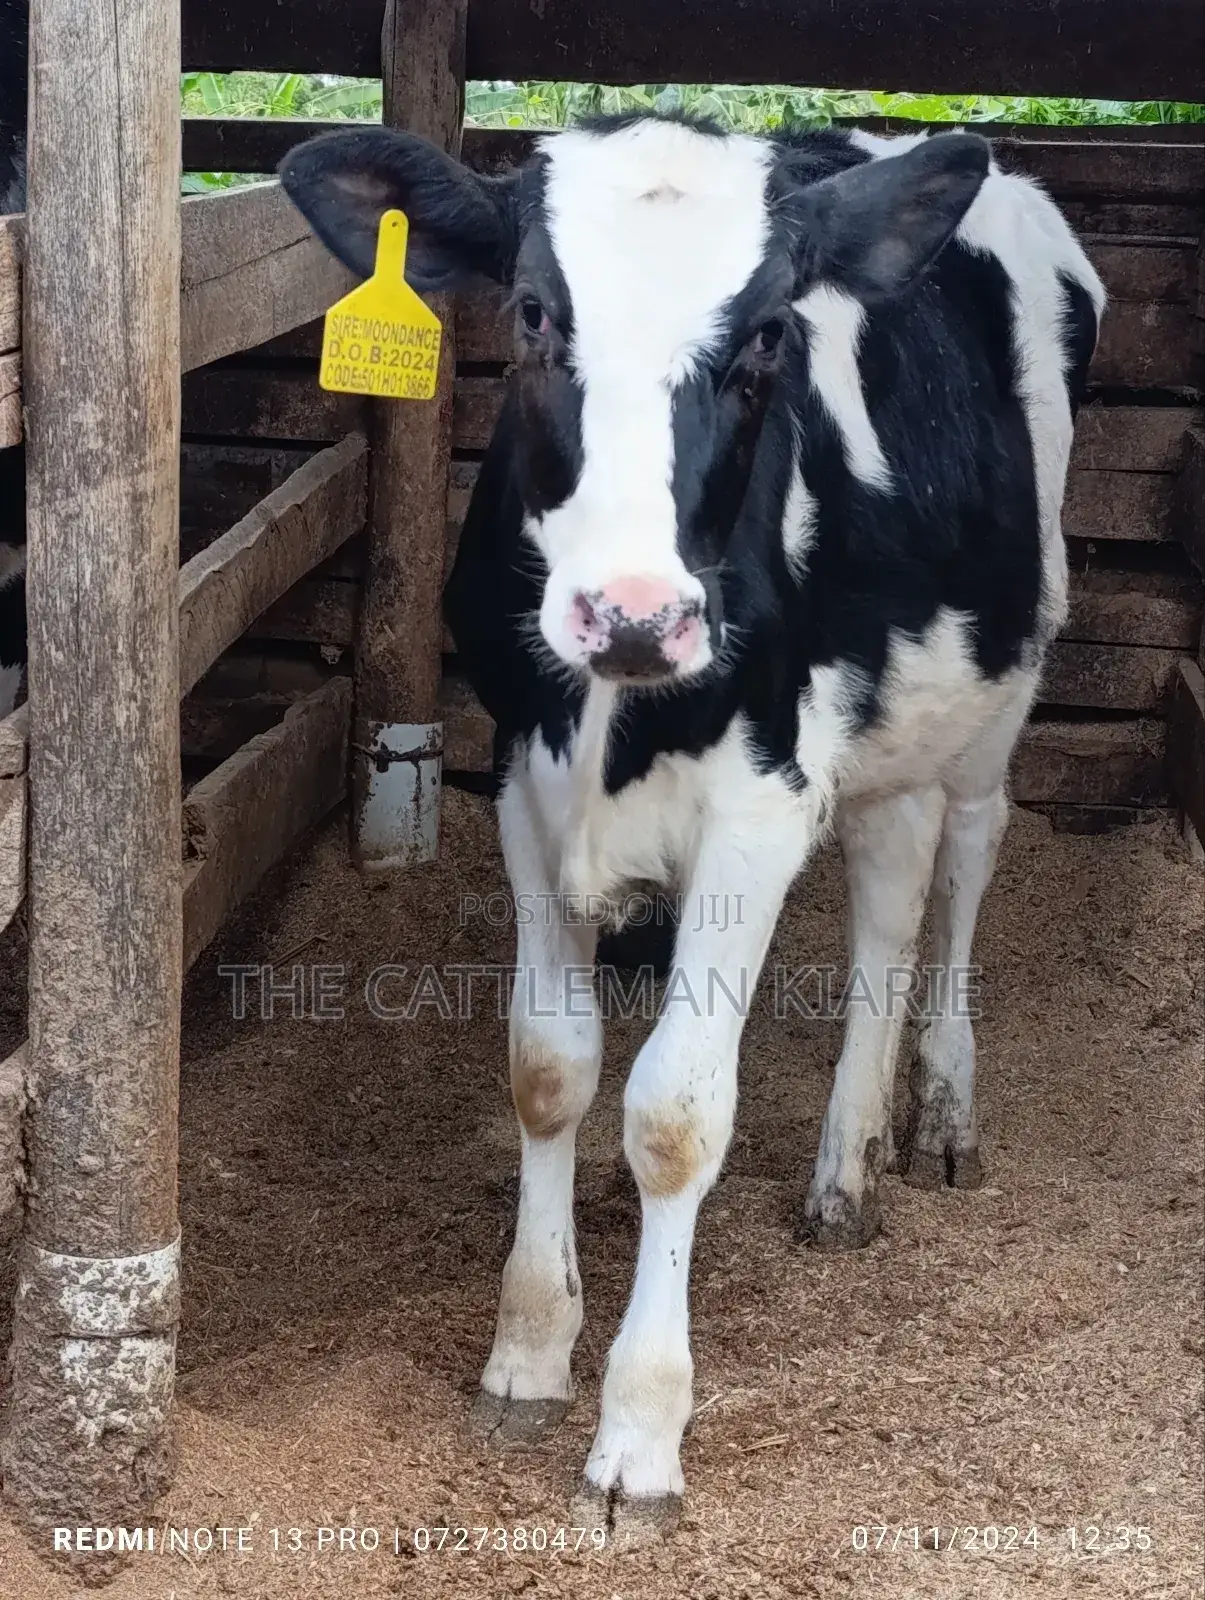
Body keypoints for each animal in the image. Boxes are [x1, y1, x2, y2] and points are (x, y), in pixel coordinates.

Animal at [281, 112, 1104, 1542]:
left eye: (769, 334)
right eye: (536, 312)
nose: (632, 613)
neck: (619, 707)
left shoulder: (760, 804)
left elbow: (672, 1114)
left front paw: (637, 1433)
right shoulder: (521, 773)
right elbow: (547, 1066)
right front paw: (526, 1350)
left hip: (1001, 680)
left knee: (961, 860)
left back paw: (940, 1109)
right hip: (883, 726)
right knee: (887, 889)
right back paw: (845, 1169)